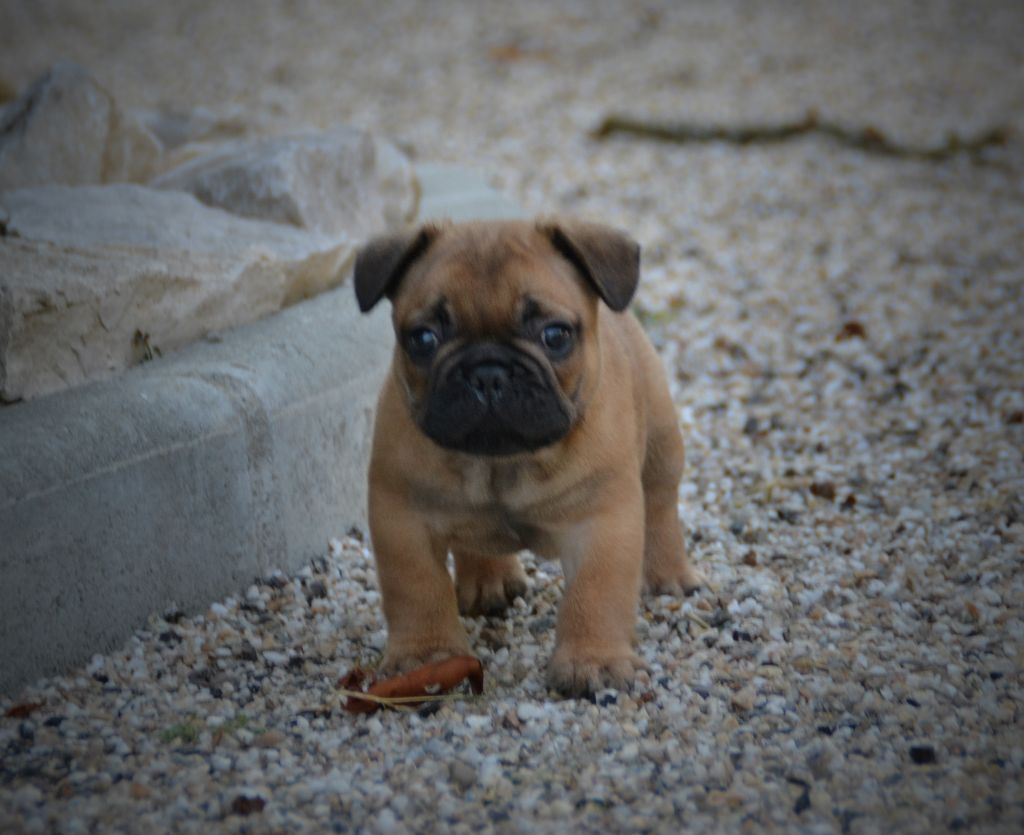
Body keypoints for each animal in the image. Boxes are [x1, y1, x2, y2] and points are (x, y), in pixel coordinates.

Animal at [352, 219, 696, 696]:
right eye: (423, 339)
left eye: (555, 335)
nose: (487, 372)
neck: (501, 463)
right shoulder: (402, 519)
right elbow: (417, 589)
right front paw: (427, 656)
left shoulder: (602, 521)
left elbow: (596, 591)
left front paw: (594, 662)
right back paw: (489, 582)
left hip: (662, 441)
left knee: (661, 504)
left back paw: (668, 576)